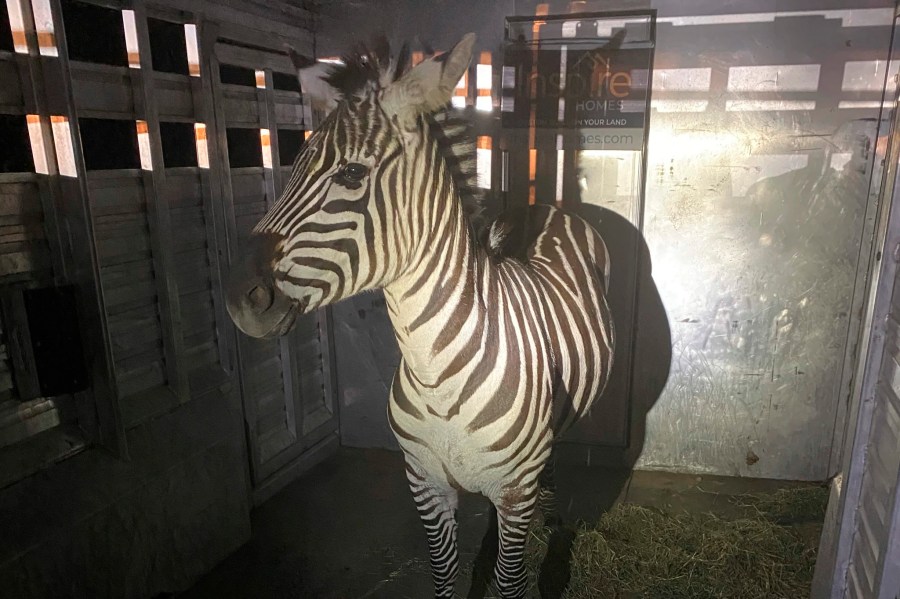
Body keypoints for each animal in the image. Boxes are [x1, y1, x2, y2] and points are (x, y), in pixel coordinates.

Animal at [229, 34, 616, 599]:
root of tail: (540, 207)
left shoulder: (513, 489)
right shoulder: (425, 483)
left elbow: (509, 583)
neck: (437, 375)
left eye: (351, 173)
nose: (241, 298)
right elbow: (444, 577)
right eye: (294, 165)